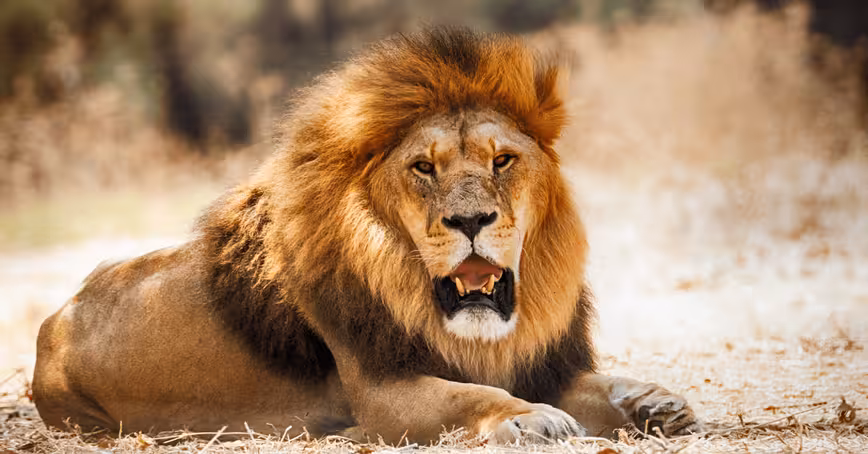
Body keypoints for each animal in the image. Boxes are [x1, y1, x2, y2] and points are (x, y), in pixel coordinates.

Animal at [33, 28, 699, 443]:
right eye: (424, 167)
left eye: (503, 161)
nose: (470, 222)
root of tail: (58, 318)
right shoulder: (383, 390)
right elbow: (471, 396)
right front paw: (533, 418)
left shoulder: (540, 361)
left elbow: (602, 381)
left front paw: (655, 402)